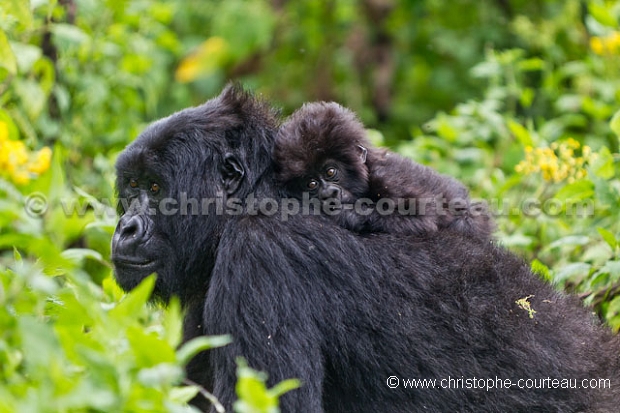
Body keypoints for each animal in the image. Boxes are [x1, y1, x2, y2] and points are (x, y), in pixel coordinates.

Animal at [276, 101, 494, 237]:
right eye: (311, 184)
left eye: (331, 172)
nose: (328, 194)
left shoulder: (388, 179)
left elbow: (420, 218)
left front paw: (347, 214)